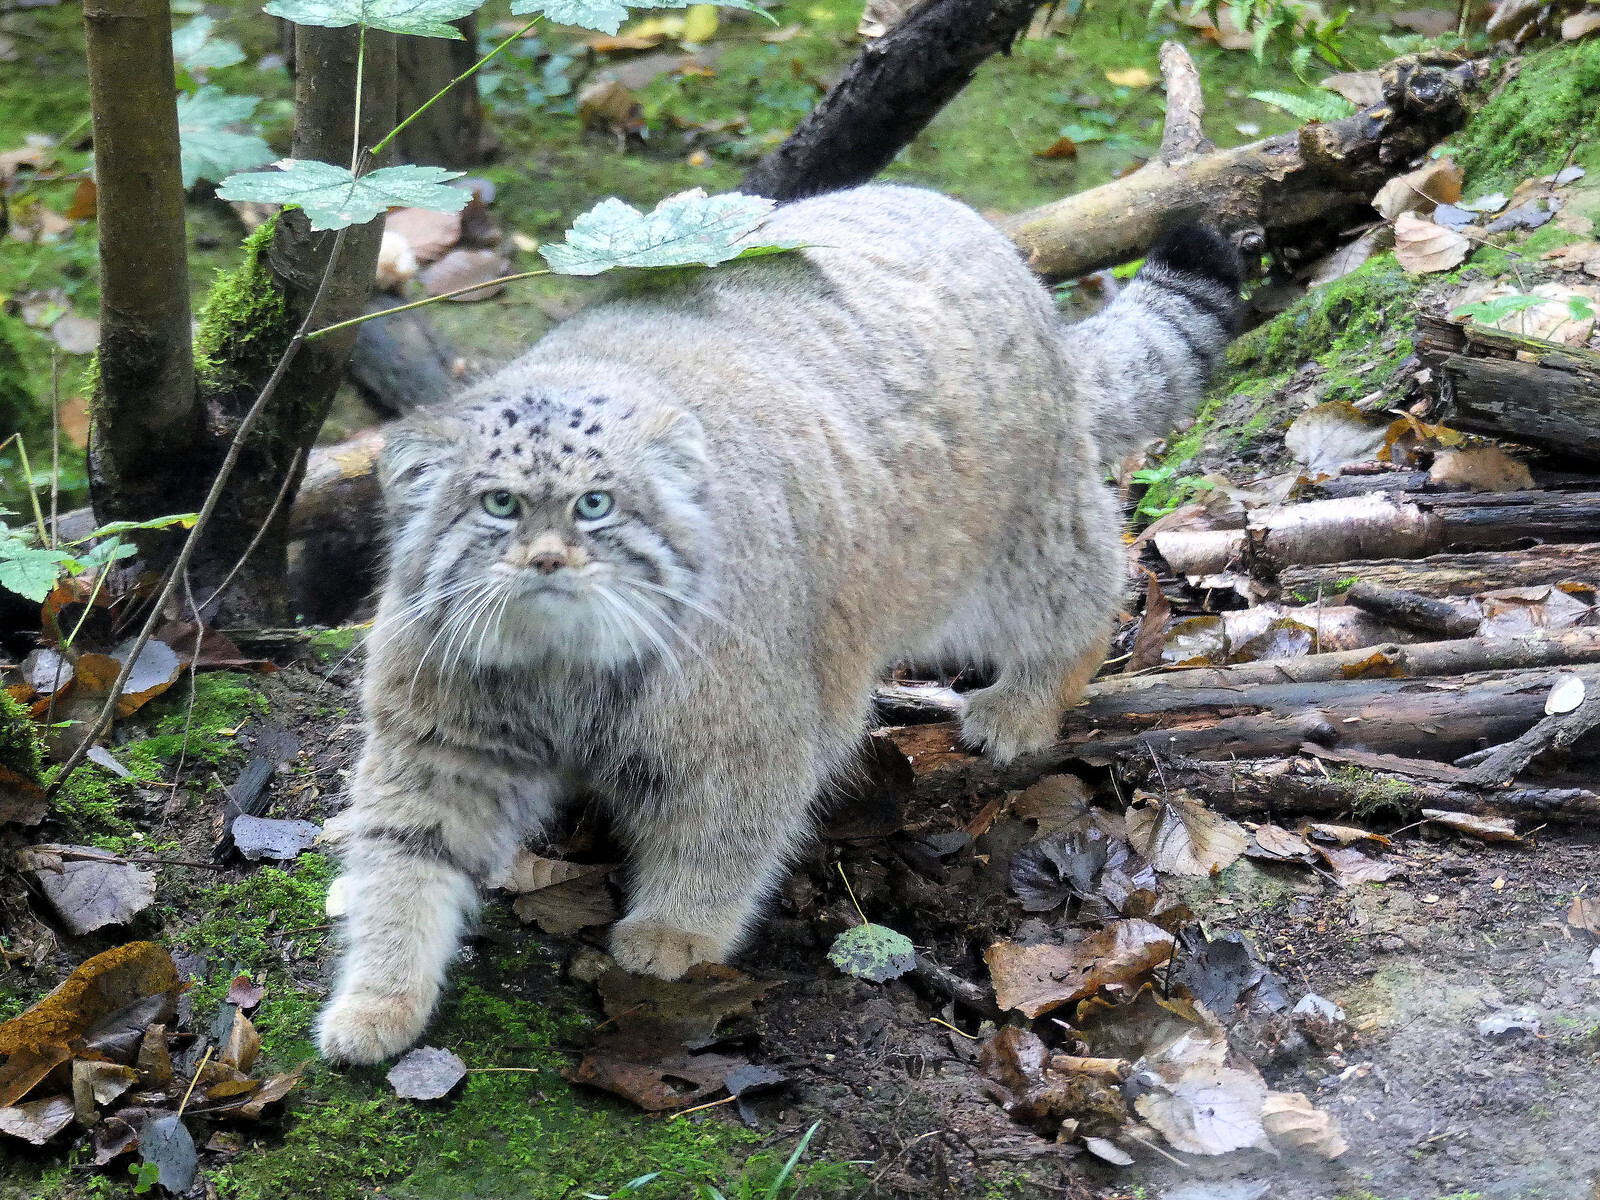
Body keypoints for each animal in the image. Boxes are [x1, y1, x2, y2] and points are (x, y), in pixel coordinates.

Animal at [312, 183, 1235, 1068]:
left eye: (597, 505)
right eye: (498, 505)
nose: (544, 561)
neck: (563, 668)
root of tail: (970, 219)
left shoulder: (744, 742)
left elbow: (719, 843)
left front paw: (675, 930)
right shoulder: (437, 749)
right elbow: (400, 868)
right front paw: (377, 1001)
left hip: (1023, 541)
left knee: (1092, 592)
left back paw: (1026, 701)